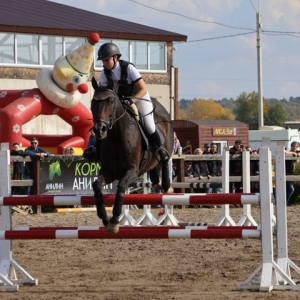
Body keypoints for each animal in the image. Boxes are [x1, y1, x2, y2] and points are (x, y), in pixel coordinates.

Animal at [90, 84, 172, 234]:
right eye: (93, 101)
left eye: (111, 101)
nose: (100, 130)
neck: (116, 137)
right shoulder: (109, 172)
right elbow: (96, 185)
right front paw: (104, 217)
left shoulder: (133, 171)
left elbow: (122, 186)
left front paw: (114, 221)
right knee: (154, 174)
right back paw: (158, 182)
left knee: (164, 159)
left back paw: (166, 185)